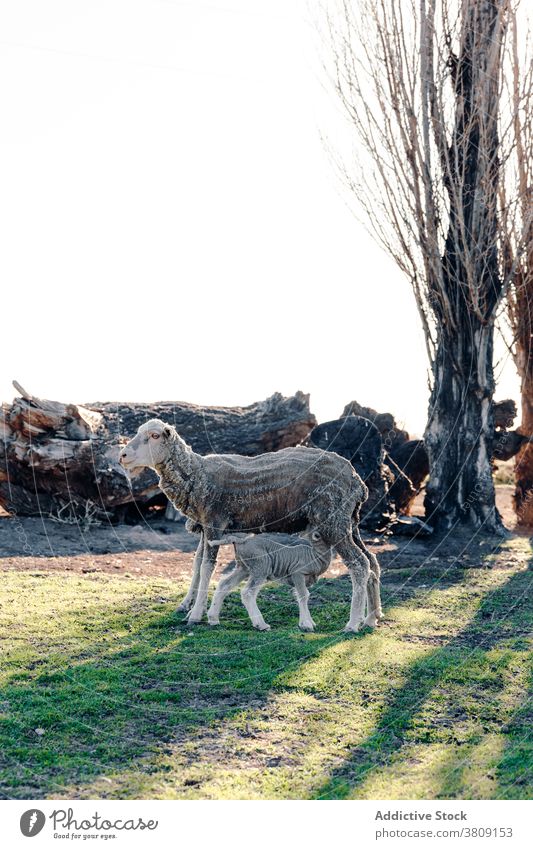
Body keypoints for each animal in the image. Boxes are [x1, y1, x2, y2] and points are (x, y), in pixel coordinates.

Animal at [118, 418, 380, 628]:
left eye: (154, 436)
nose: (122, 456)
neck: (196, 473)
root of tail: (358, 482)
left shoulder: (214, 522)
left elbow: (207, 568)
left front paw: (196, 614)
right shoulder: (205, 526)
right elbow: (196, 564)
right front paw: (186, 605)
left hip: (333, 521)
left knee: (359, 565)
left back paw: (353, 623)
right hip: (349, 522)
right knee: (372, 561)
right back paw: (372, 617)